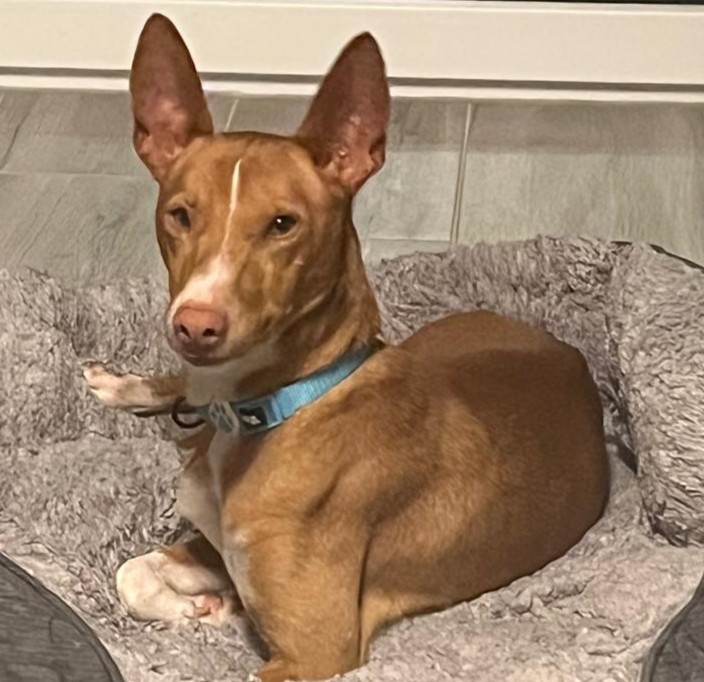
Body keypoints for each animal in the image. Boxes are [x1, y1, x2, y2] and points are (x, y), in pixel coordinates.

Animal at [83, 14, 609, 682]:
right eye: (179, 215)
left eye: (283, 224)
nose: (195, 325)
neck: (272, 405)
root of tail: (570, 357)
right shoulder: (218, 544)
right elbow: (132, 572)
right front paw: (200, 606)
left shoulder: (317, 648)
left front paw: (209, 608)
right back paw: (123, 385)